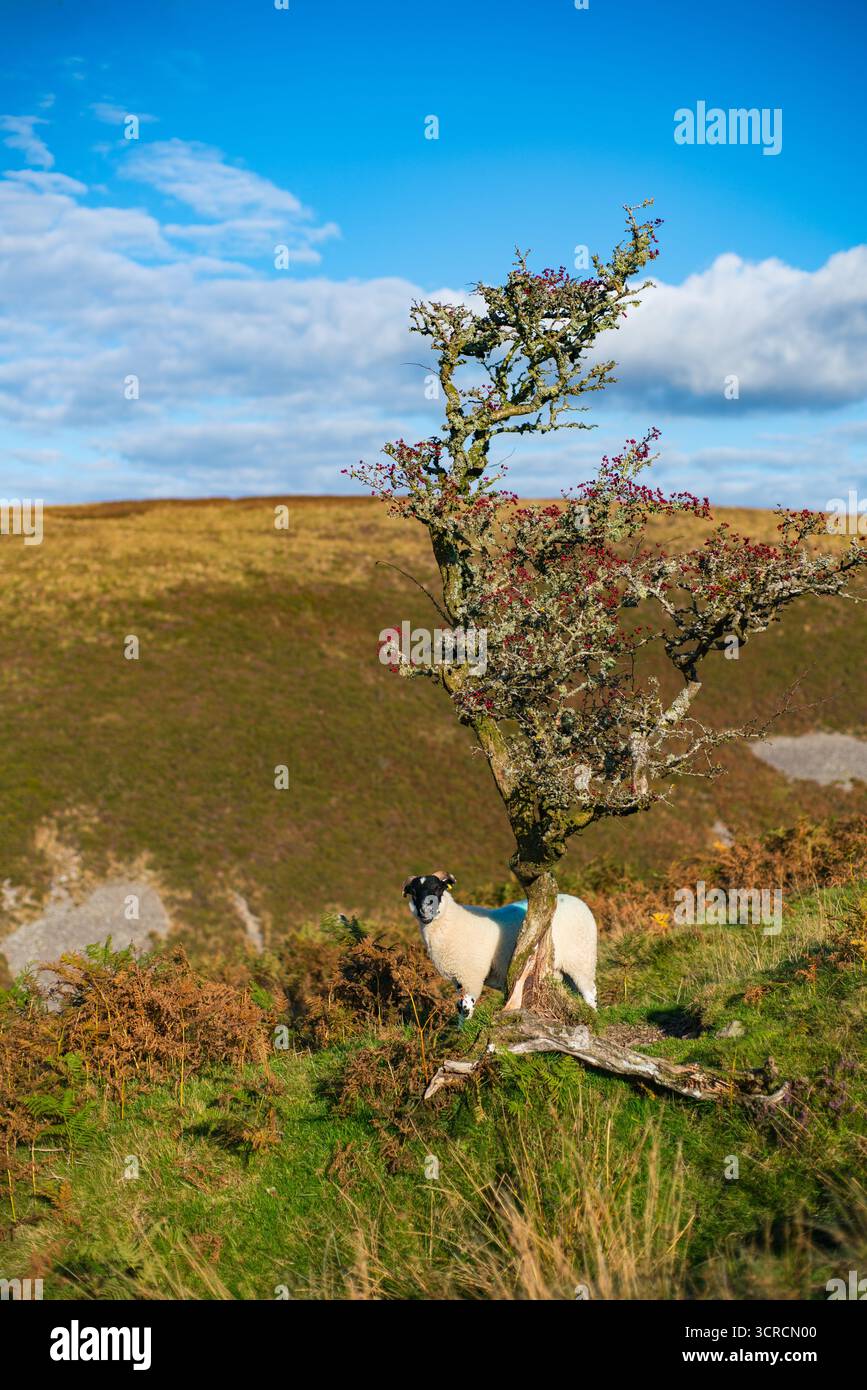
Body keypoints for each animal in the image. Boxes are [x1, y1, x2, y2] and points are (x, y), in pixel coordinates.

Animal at [403, 870, 597, 1021]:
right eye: (414, 892)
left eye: (437, 888)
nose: (425, 911)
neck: (452, 923)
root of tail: (579, 902)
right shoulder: (458, 979)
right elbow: (459, 1009)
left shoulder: (471, 976)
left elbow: (466, 1010)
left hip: (582, 960)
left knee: (590, 992)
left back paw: (594, 1016)